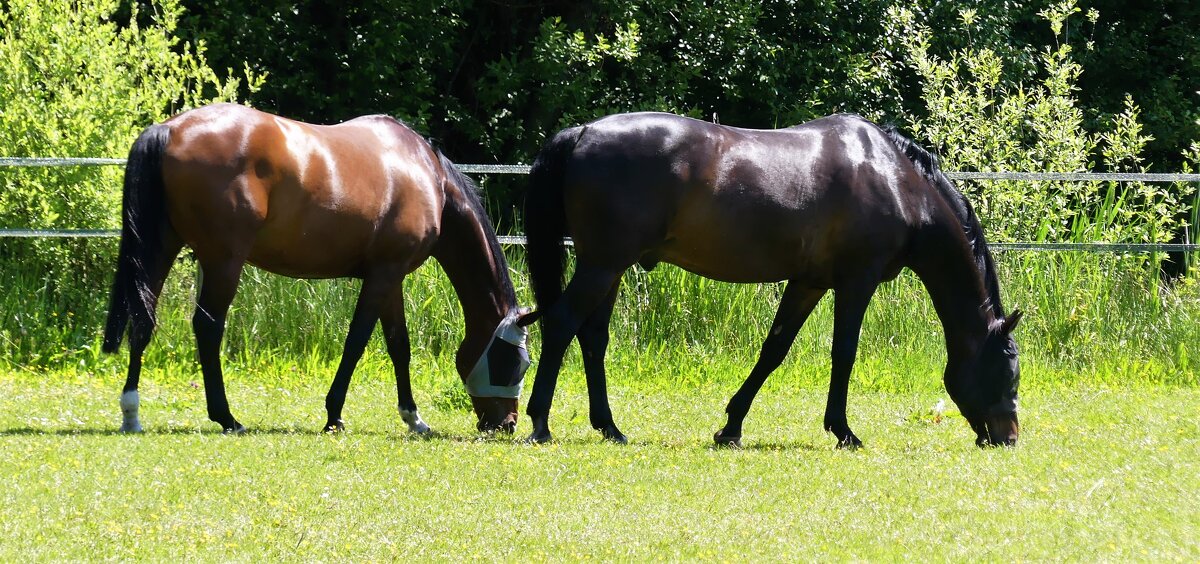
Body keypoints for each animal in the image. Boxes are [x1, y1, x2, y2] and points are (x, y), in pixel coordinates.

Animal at [104, 103, 530, 434]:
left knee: (143, 319)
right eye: (513, 364)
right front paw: (334, 415)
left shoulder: (389, 277)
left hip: (162, 248)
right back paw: (227, 418)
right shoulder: (384, 276)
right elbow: (357, 342)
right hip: (223, 261)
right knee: (208, 328)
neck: (428, 176)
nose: (507, 424)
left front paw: (413, 418)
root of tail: (169, 129)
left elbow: (399, 346)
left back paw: (131, 412)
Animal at [516, 111, 1022, 448]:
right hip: (602, 265)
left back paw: (609, 427)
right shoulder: (856, 283)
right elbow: (844, 354)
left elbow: (774, 350)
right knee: (561, 324)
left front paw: (730, 428)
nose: (1008, 438)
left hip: (610, 267)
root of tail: (583, 132)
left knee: (592, 337)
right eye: (1008, 373)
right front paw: (844, 432)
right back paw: (540, 423)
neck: (897, 182)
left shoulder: (808, 283)